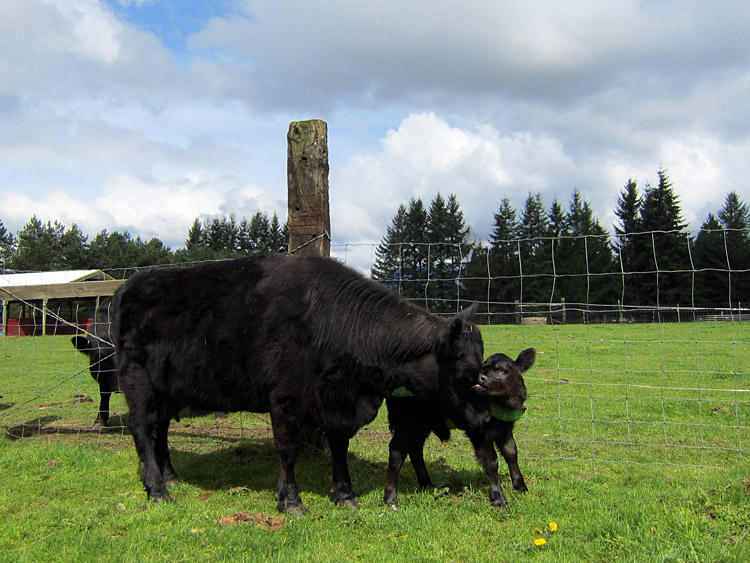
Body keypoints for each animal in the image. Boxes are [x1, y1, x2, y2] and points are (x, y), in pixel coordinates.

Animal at [111, 254, 486, 514]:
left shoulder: (337, 402)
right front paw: (290, 500)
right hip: (137, 379)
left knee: (160, 429)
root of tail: (132, 282)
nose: (484, 419)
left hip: (167, 387)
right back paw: (157, 490)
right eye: (467, 375)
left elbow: (339, 447)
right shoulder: (285, 399)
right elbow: (288, 450)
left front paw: (345, 495)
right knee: (143, 429)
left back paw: (170, 476)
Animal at [384, 348, 536, 509]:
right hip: (408, 421)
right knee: (397, 450)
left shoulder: (505, 429)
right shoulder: (479, 432)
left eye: (501, 370)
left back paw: (427, 484)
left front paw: (521, 487)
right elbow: (491, 462)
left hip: (424, 424)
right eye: (483, 367)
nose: (481, 378)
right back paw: (391, 498)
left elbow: (512, 454)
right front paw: (498, 498)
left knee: (415, 449)